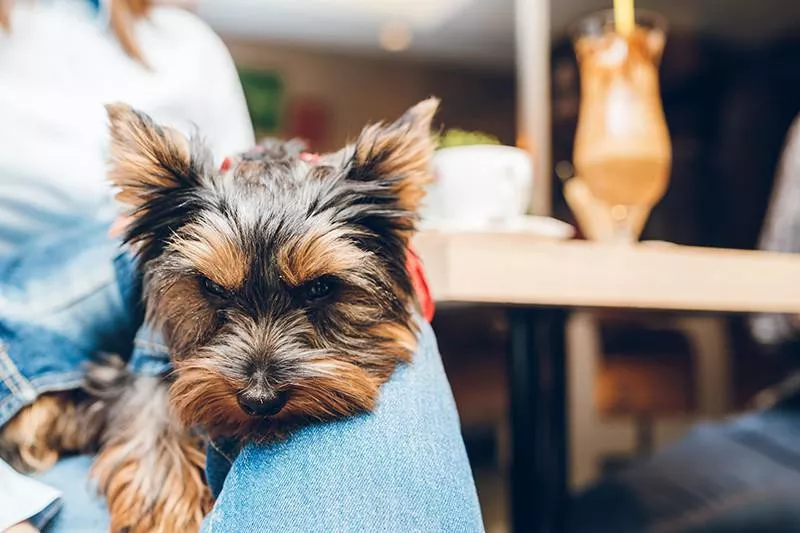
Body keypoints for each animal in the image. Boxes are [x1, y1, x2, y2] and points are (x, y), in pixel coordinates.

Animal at [0, 97, 438, 528]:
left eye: (320, 288)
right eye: (210, 287)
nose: (260, 399)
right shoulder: (149, 344)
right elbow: (152, 403)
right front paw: (165, 506)